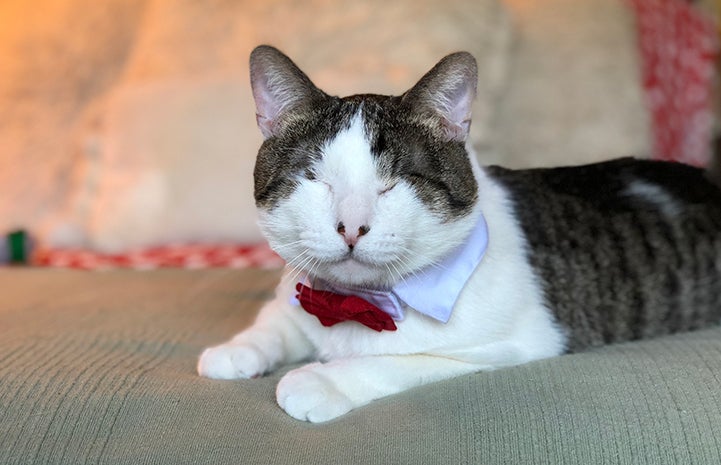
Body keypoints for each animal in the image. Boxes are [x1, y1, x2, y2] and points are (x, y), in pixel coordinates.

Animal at [195, 45, 720, 422]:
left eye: (395, 183)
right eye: (314, 178)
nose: (351, 227)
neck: (356, 303)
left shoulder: (508, 346)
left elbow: (395, 360)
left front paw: (321, 380)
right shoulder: (298, 290)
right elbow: (279, 320)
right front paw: (239, 348)